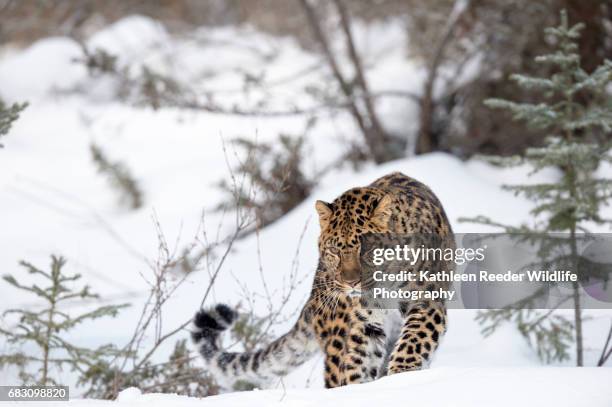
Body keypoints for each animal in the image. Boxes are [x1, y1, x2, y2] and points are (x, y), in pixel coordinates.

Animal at [194, 171, 452, 388]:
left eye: (366, 249)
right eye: (334, 251)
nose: (351, 283)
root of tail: (313, 295)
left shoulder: (426, 301)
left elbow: (414, 340)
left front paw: (401, 374)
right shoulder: (366, 322)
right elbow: (359, 361)